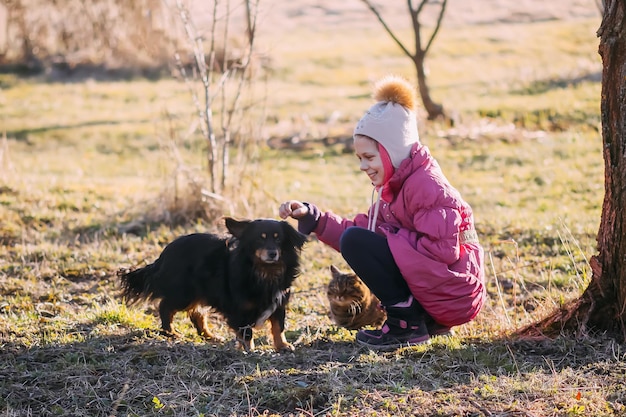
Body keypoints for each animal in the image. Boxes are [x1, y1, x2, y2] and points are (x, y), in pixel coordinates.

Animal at [118, 218, 306, 352]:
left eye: (278, 239)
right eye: (260, 239)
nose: (272, 253)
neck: (265, 272)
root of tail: (164, 254)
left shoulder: (279, 304)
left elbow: (278, 327)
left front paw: (282, 346)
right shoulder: (240, 308)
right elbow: (246, 332)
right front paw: (248, 349)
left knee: (197, 314)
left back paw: (210, 336)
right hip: (185, 294)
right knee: (165, 307)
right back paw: (171, 333)